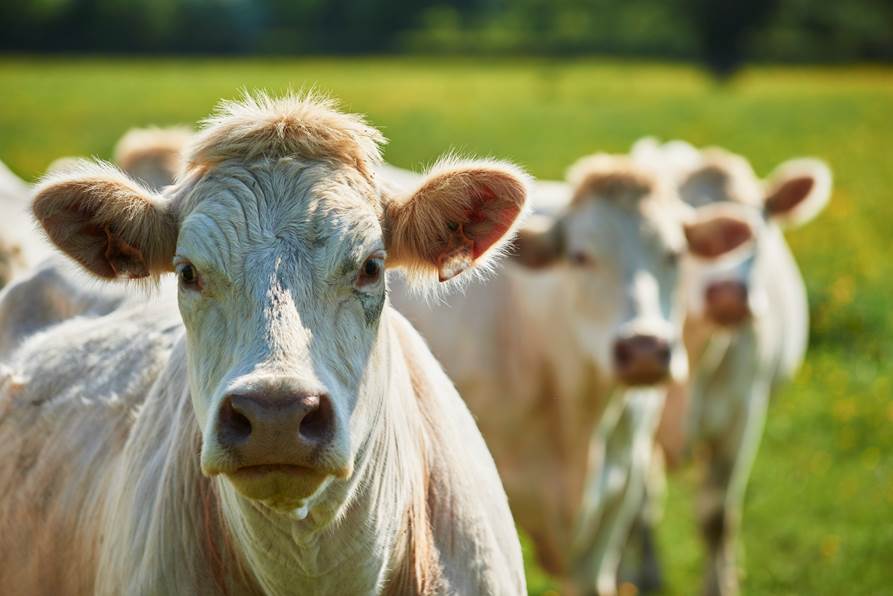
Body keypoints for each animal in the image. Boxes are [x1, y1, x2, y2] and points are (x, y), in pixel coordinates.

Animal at [629, 138, 832, 596]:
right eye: (682, 232)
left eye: (761, 221)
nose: (727, 294)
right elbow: (644, 509)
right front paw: (646, 578)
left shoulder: (742, 418)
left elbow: (717, 516)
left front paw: (720, 583)